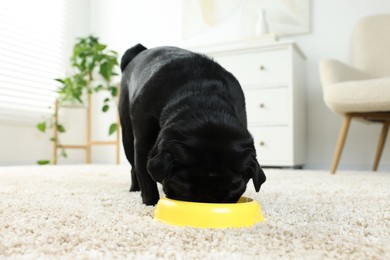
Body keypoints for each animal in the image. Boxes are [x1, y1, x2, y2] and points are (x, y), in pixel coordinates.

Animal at [119, 43, 266, 205]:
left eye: (234, 189)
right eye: (182, 185)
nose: (206, 200)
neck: (204, 101)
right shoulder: (143, 146)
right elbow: (145, 177)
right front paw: (151, 203)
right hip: (127, 135)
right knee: (133, 166)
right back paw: (134, 189)